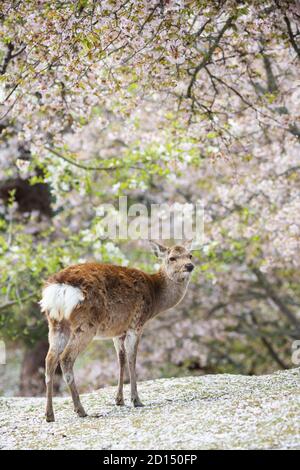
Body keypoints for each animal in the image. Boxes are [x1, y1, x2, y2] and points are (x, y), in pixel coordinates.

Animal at [39, 241, 195, 420]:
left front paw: (119, 400)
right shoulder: (137, 323)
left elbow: (121, 359)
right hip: (86, 324)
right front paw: (136, 400)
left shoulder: (118, 331)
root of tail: (59, 288)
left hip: (56, 323)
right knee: (66, 358)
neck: (155, 296)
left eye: (190, 255)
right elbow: (132, 359)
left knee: (49, 360)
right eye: (172, 258)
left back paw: (49, 414)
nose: (189, 266)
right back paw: (80, 410)